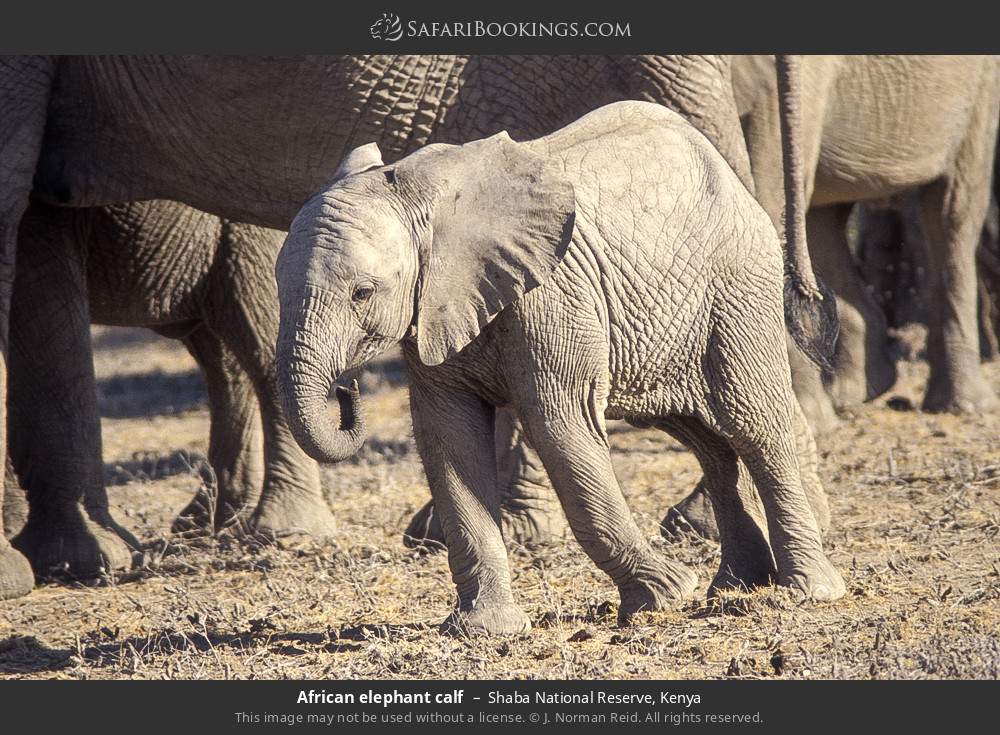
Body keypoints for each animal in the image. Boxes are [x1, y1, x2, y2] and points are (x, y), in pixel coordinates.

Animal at [272, 102, 845, 636]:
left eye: (362, 293)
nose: (346, 391)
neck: (426, 200)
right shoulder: (434, 310)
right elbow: (449, 440)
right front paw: (485, 630)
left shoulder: (551, 300)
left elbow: (560, 430)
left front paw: (664, 597)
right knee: (705, 438)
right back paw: (735, 587)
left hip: (737, 283)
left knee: (752, 422)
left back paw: (807, 591)